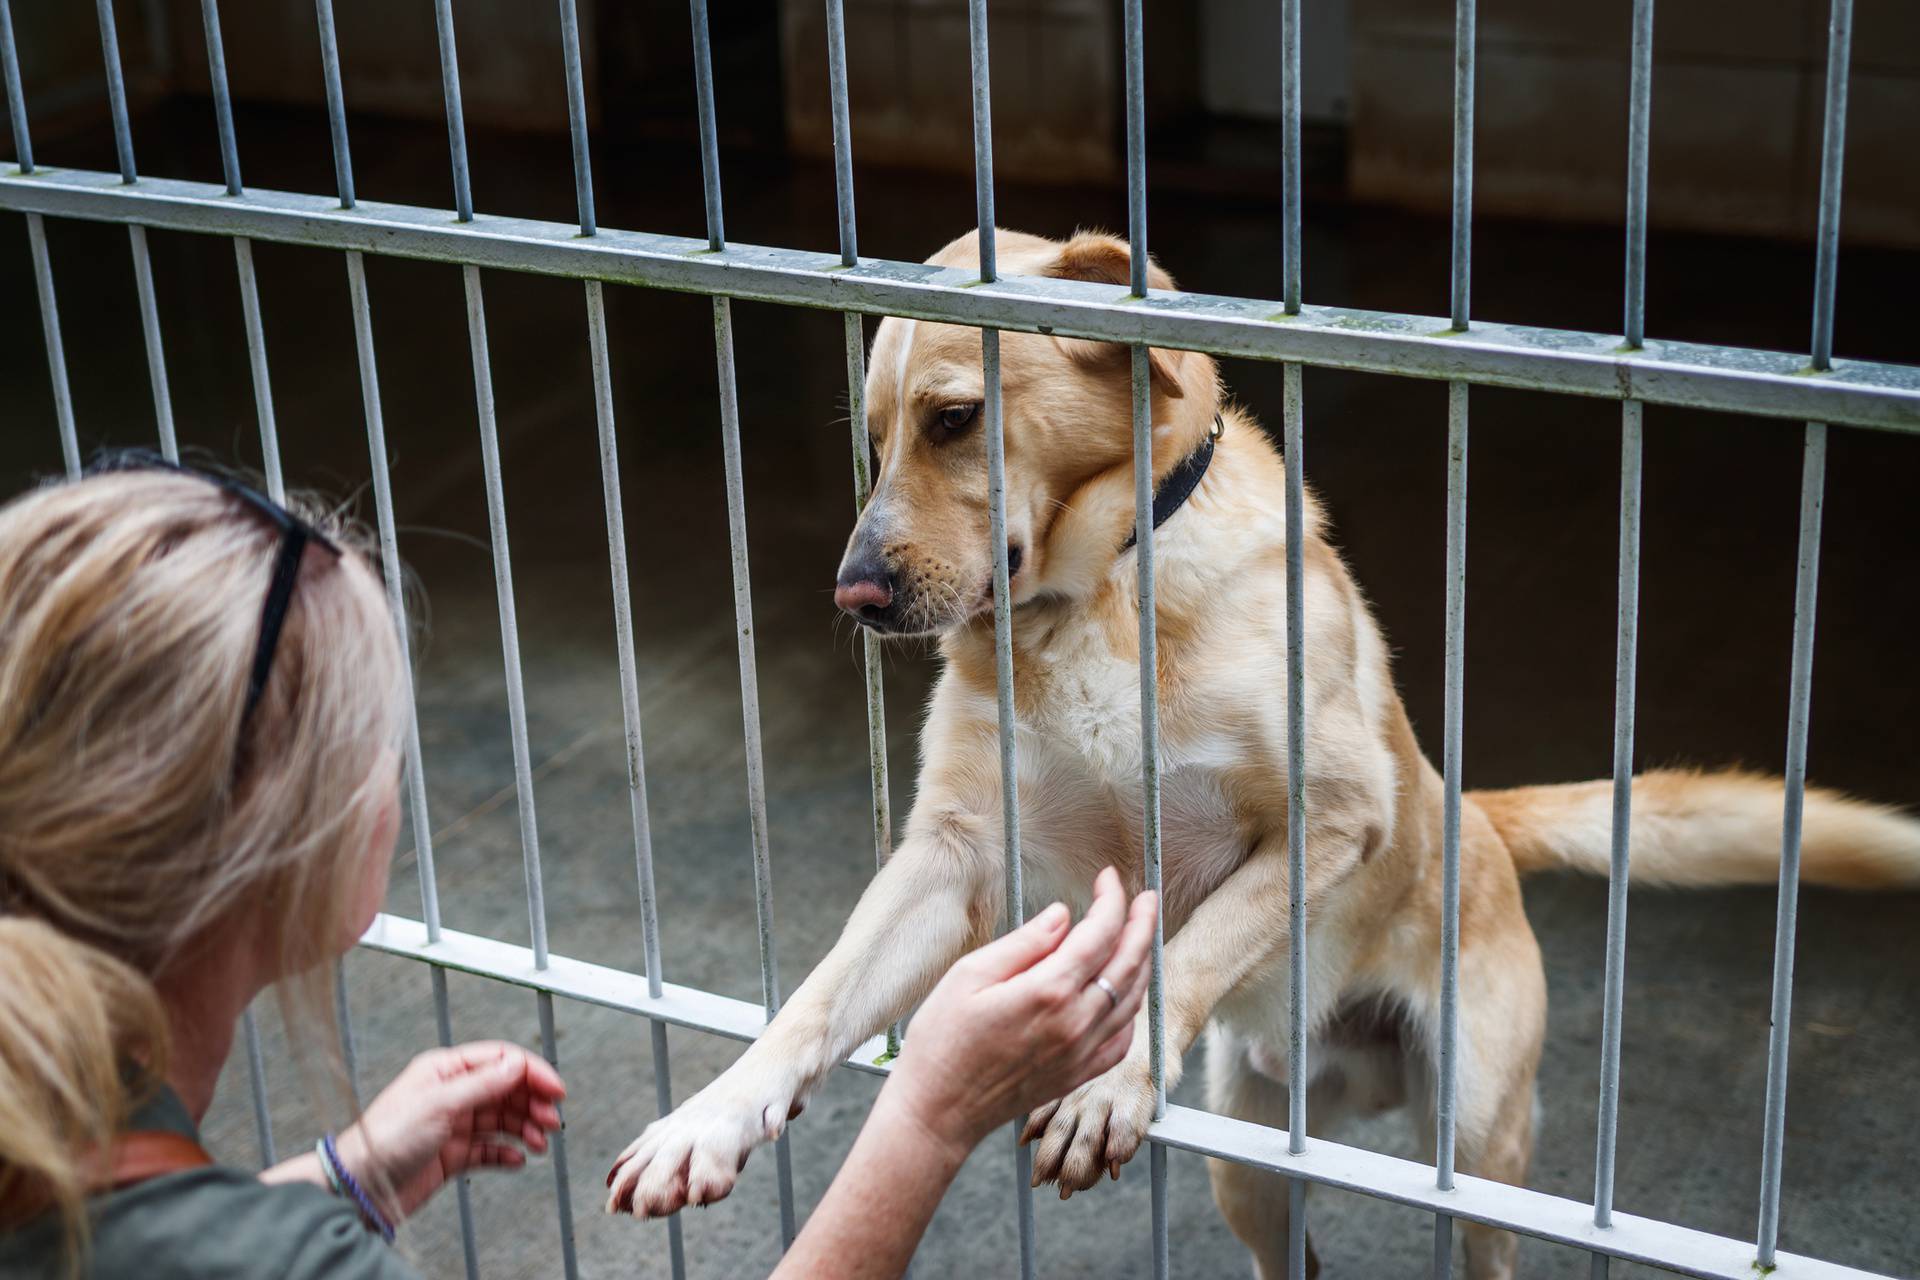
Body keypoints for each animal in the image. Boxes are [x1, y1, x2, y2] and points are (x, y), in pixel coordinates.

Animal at [614, 227, 1920, 1274]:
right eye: (873, 441)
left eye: (956, 418)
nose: (853, 597)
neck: (1096, 598)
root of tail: (1476, 815)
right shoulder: (953, 854)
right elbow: (815, 998)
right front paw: (708, 1118)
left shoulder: (1331, 817)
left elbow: (1181, 956)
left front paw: (1111, 1082)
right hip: (1250, 1158)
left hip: (1476, 1146)